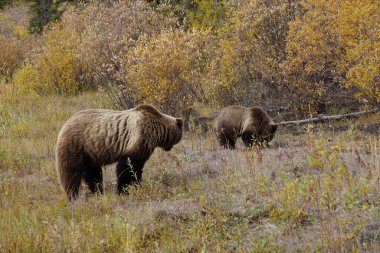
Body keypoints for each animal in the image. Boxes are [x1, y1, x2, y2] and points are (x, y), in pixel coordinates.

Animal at [54, 104, 183, 201]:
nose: (169, 148)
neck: (157, 129)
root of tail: (65, 124)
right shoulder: (140, 138)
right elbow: (128, 166)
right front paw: (124, 189)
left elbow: (137, 167)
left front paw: (136, 185)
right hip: (76, 146)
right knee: (71, 173)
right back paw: (72, 196)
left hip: (90, 153)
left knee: (93, 174)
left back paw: (99, 191)